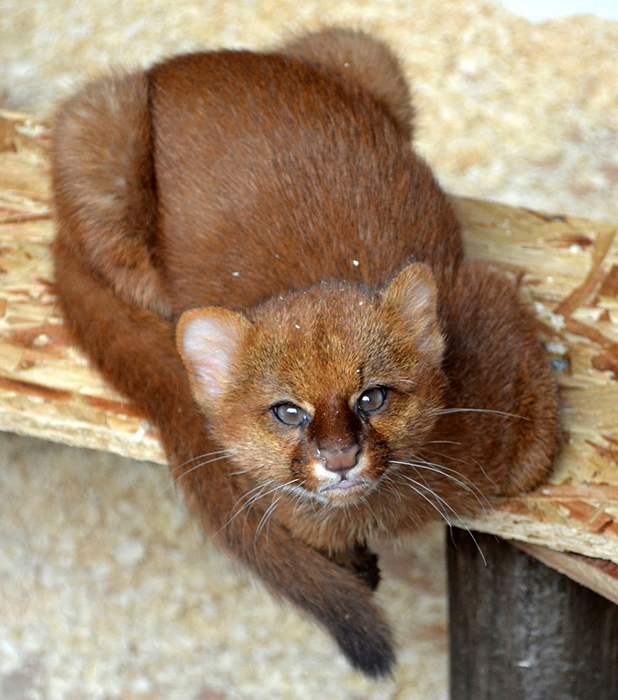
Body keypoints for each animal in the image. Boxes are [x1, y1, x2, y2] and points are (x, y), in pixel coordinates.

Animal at [50, 28, 556, 680]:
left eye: (373, 397)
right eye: (287, 412)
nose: (340, 458)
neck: (386, 514)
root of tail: (180, 64)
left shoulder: (496, 312)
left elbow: (537, 456)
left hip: (366, 52)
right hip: (96, 126)